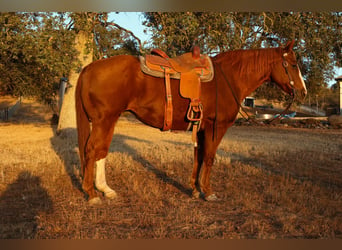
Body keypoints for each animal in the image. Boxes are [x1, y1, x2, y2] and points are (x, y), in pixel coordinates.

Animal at [75, 40, 308, 204]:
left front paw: (195, 189)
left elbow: (199, 157)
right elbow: (210, 158)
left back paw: (105, 190)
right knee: (92, 150)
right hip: (104, 120)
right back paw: (92, 194)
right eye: (293, 64)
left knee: (100, 151)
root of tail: (89, 68)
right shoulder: (216, 127)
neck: (228, 79)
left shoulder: (201, 128)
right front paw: (209, 192)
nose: (303, 92)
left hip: (108, 120)